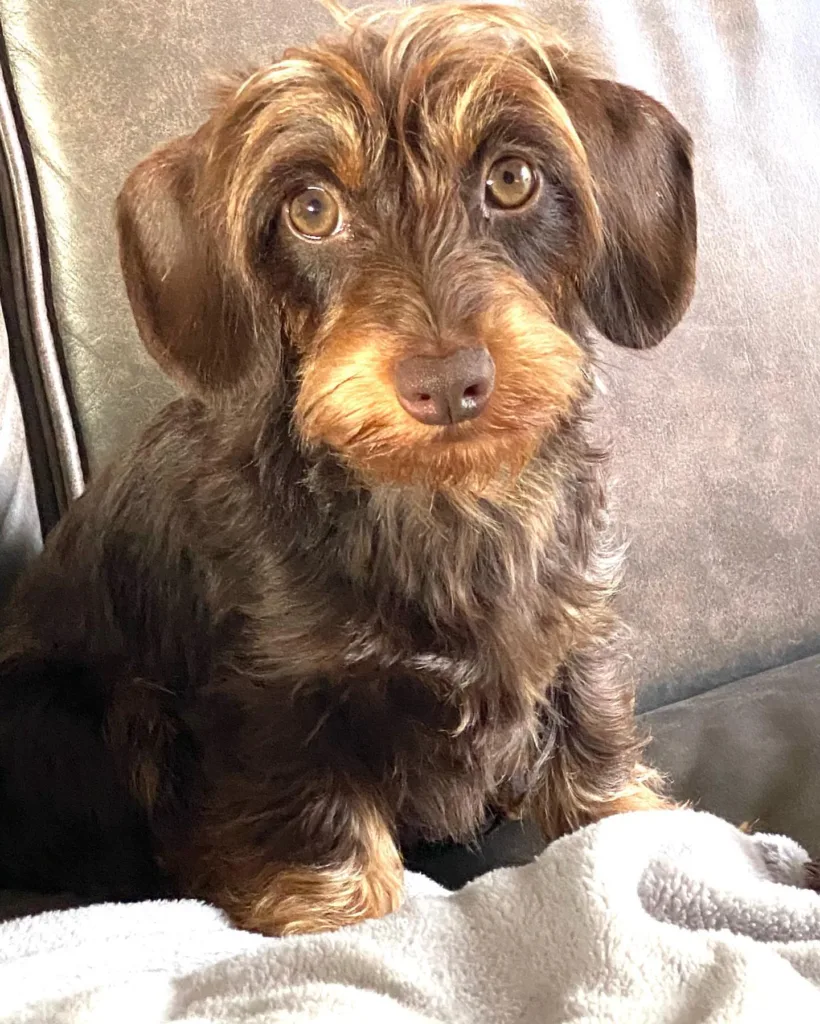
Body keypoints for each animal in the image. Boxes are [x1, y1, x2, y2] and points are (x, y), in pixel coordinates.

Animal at [0, 2, 696, 937]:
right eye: (311, 207)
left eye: (512, 179)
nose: (447, 383)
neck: (438, 503)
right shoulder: (279, 700)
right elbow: (317, 823)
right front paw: (332, 908)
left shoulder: (569, 629)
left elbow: (591, 749)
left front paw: (634, 821)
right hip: (96, 712)